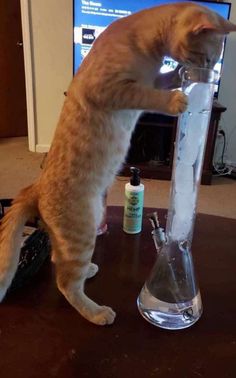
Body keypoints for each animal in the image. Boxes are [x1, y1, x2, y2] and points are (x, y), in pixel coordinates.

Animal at [0, 2, 236, 324]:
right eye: (210, 58)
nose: (209, 75)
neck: (141, 39)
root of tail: (34, 188)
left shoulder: (152, 79)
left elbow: (160, 82)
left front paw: (177, 75)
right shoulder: (111, 88)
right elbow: (148, 94)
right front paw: (176, 100)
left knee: (59, 261)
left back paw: (87, 271)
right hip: (83, 229)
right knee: (65, 282)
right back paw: (96, 312)